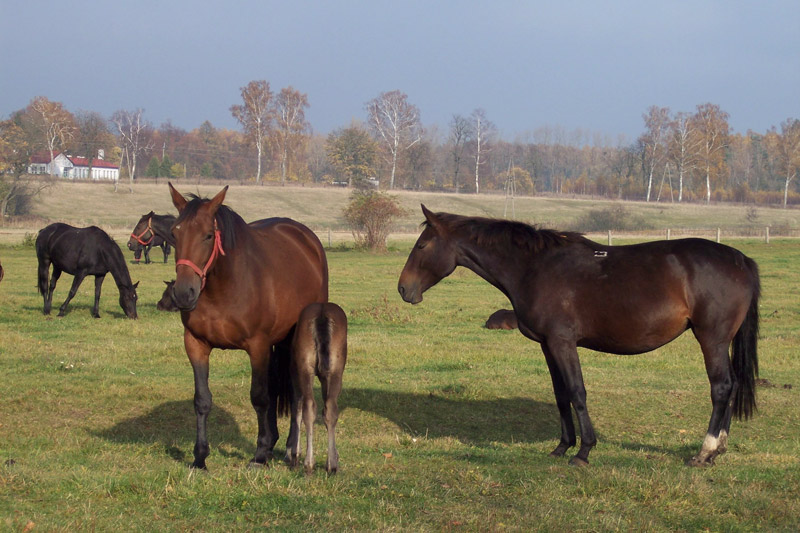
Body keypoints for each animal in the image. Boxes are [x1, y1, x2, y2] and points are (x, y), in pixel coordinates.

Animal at [169, 184, 328, 470]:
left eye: (208, 235)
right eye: (174, 234)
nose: (184, 293)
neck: (226, 287)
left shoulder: (258, 346)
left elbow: (260, 397)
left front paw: (260, 453)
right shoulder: (196, 344)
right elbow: (202, 399)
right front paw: (200, 457)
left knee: (296, 392)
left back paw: (290, 448)